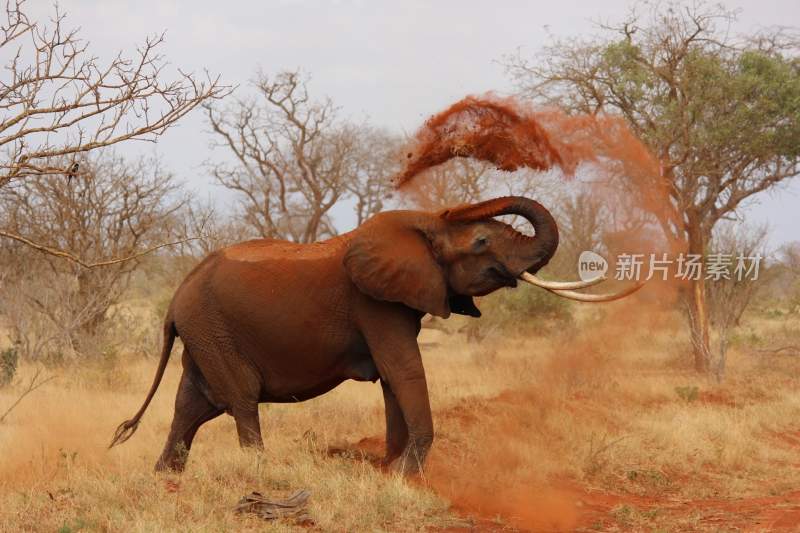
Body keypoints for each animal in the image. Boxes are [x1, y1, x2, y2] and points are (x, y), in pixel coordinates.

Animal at [109, 195, 632, 474]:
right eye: (482, 241)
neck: (422, 225)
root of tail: (175, 299)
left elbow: (392, 378)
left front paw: (391, 468)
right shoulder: (374, 303)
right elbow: (403, 370)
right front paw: (405, 473)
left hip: (204, 333)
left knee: (193, 404)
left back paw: (166, 479)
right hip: (213, 330)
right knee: (239, 399)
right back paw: (259, 470)